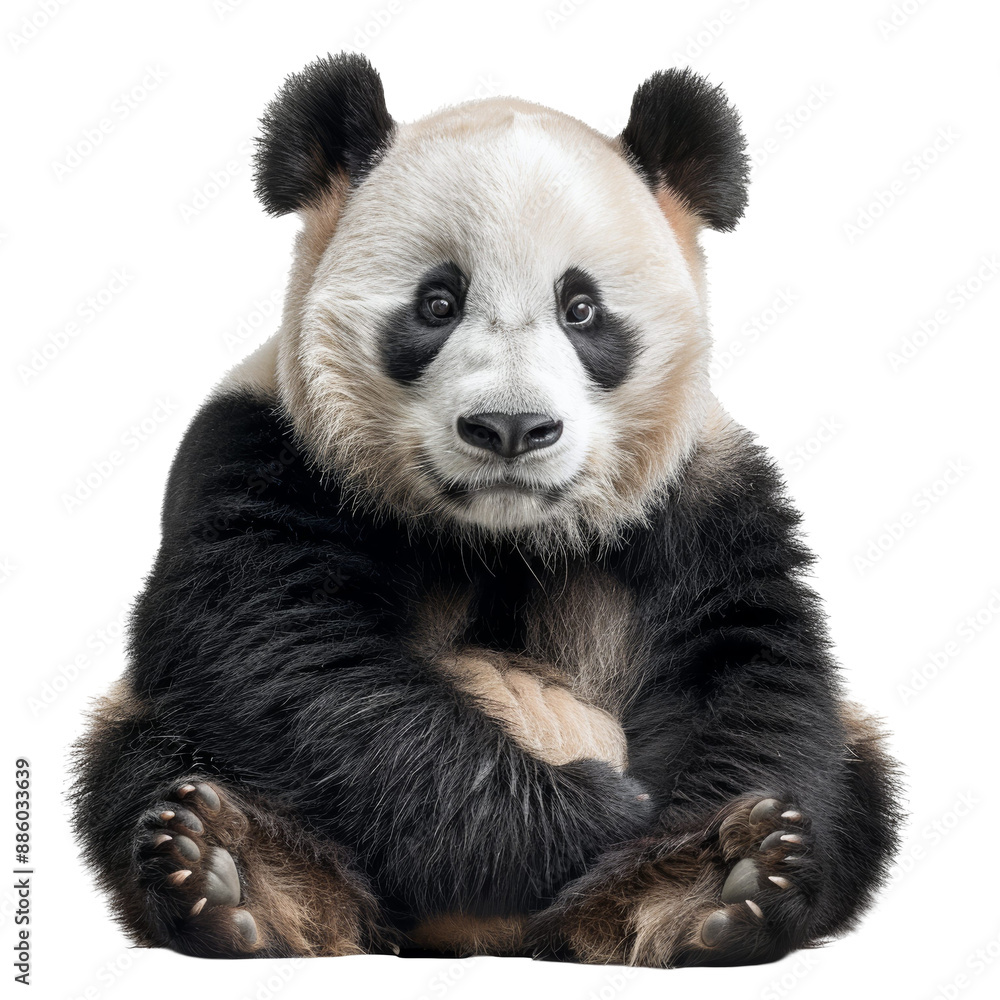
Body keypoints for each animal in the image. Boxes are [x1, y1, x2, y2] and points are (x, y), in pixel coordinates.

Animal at [72, 52, 901, 968]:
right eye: (437, 303)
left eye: (582, 308)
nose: (510, 427)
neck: (503, 533)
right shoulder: (265, 453)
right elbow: (298, 659)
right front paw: (597, 810)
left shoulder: (708, 495)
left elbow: (750, 674)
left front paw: (700, 863)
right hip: (154, 731)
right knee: (146, 760)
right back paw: (234, 876)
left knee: (857, 780)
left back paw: (712, 890)